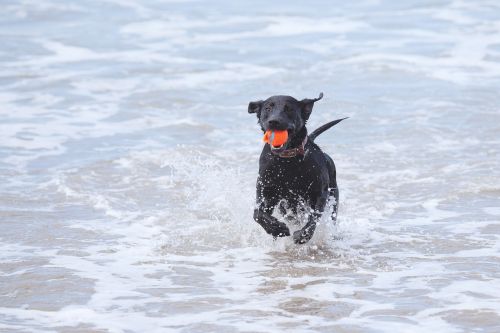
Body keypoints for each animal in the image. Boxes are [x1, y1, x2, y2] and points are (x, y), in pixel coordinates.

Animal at [248, 92, 346, 243]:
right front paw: (276, 229)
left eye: (289, 109)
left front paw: (303, 235)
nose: (274, 121)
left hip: (333, 198)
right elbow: (257, 214)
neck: (287, 161)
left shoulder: (319, 193)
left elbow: (314, 216)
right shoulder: (266, 193)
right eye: (268, 108)